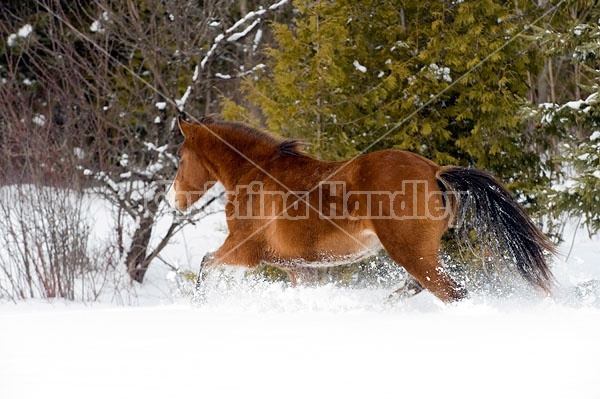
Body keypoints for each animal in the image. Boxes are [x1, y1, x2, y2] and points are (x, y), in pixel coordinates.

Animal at [166, 115, 556, 304]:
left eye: (181, 158)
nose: (174, 201)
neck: (254, 173)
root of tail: (434, 170)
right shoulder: (297, 267)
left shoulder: (245, 250)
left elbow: (205, 264)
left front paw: (199, 302)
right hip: (420, 254)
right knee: (417, 287)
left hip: (410, 252)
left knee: (452, 293)